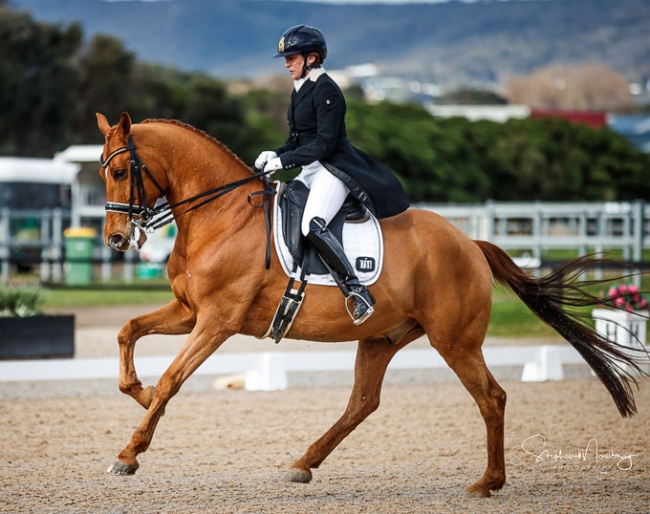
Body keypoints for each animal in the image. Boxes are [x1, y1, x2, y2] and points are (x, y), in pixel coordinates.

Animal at [96, 112, 644, 496]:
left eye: (121, 170)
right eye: (104, 173)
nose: (118, 239)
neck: (219, 213)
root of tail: (469, 242)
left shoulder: (217, 320)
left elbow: (173, 377)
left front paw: (129, 452)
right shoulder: (190, 312)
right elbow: (128, 331)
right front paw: (139, 394)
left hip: (455, 340)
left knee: (491, 397)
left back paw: (488, 483)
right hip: (381, 337)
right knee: (362, 402)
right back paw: (303, 465)